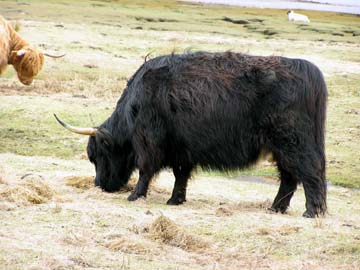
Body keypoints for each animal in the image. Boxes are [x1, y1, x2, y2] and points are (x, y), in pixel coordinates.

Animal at [54, 51, 328, 218]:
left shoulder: (149, 142)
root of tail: (308, 70)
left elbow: (145, 170)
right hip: (282, 148)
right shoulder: (181, 149)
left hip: (294, 143)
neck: (134, 106)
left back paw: (311, 212)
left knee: (309, 173)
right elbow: (181, 175)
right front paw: (175, 200)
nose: (99, 185)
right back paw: (275, 208)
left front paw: (135, 195)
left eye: (98, 155)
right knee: (289, 177)